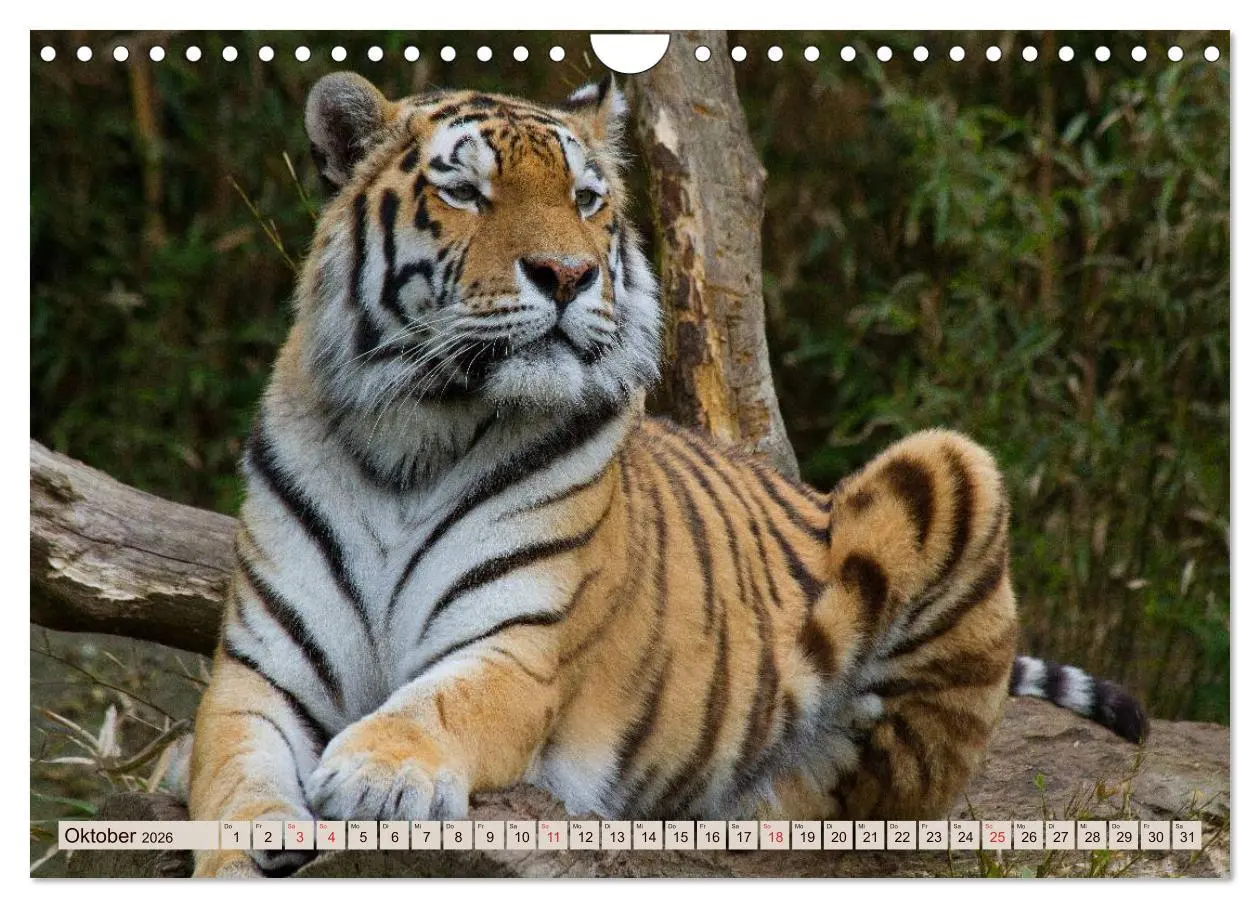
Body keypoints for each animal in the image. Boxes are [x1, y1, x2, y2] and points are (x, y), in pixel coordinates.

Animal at [187, 71, 1148, 877]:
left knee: (864, 798)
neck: (413, 434)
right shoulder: (259, 668)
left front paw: (374, 771)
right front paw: (250, 840)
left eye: (585, 200)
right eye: (464, 192)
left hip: (951, 466)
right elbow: (227, 769)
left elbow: (435, 705)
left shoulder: (517, 648)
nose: (568, 274)